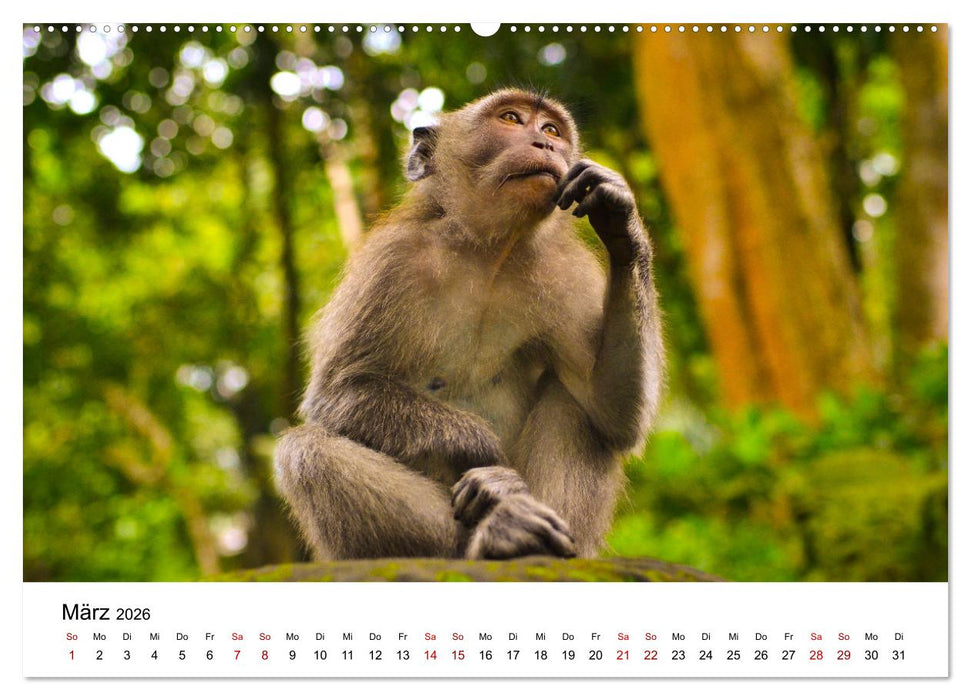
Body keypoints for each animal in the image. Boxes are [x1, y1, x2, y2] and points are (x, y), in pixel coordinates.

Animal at [274, 88, 664, 561]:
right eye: (511, 119)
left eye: (552, 129)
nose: (546, 144)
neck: (488, 252)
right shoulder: (390, 261)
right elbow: (338, 393)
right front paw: (488, 459)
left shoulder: (565, 273)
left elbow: (613, 411)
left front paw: (620, 218)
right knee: (305, 450)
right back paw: (497, 532)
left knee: (574, 403)